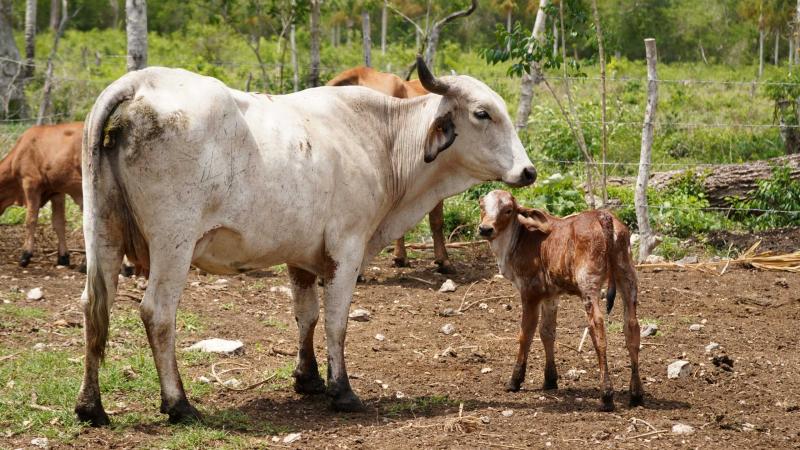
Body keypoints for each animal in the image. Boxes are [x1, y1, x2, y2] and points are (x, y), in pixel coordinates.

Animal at [0, 122, 83, 267]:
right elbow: (58, 223)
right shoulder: (56, 191)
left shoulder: (30, 183)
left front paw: (25, 255)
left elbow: (31, 220)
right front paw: (63, 257)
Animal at [478, 190, 642, 411]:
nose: (485, 228)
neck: (519, 239)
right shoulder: (551, 295)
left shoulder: (530, 292)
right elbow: (547, 332)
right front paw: (550, 380)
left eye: (508, 210)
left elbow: (525, 334)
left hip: (589, 283)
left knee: (597, 328)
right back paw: (636, 394)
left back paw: (606, 396)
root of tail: (603, 216)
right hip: (627, 273)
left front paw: (515, 381)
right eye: (482, 206)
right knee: (632, 327)